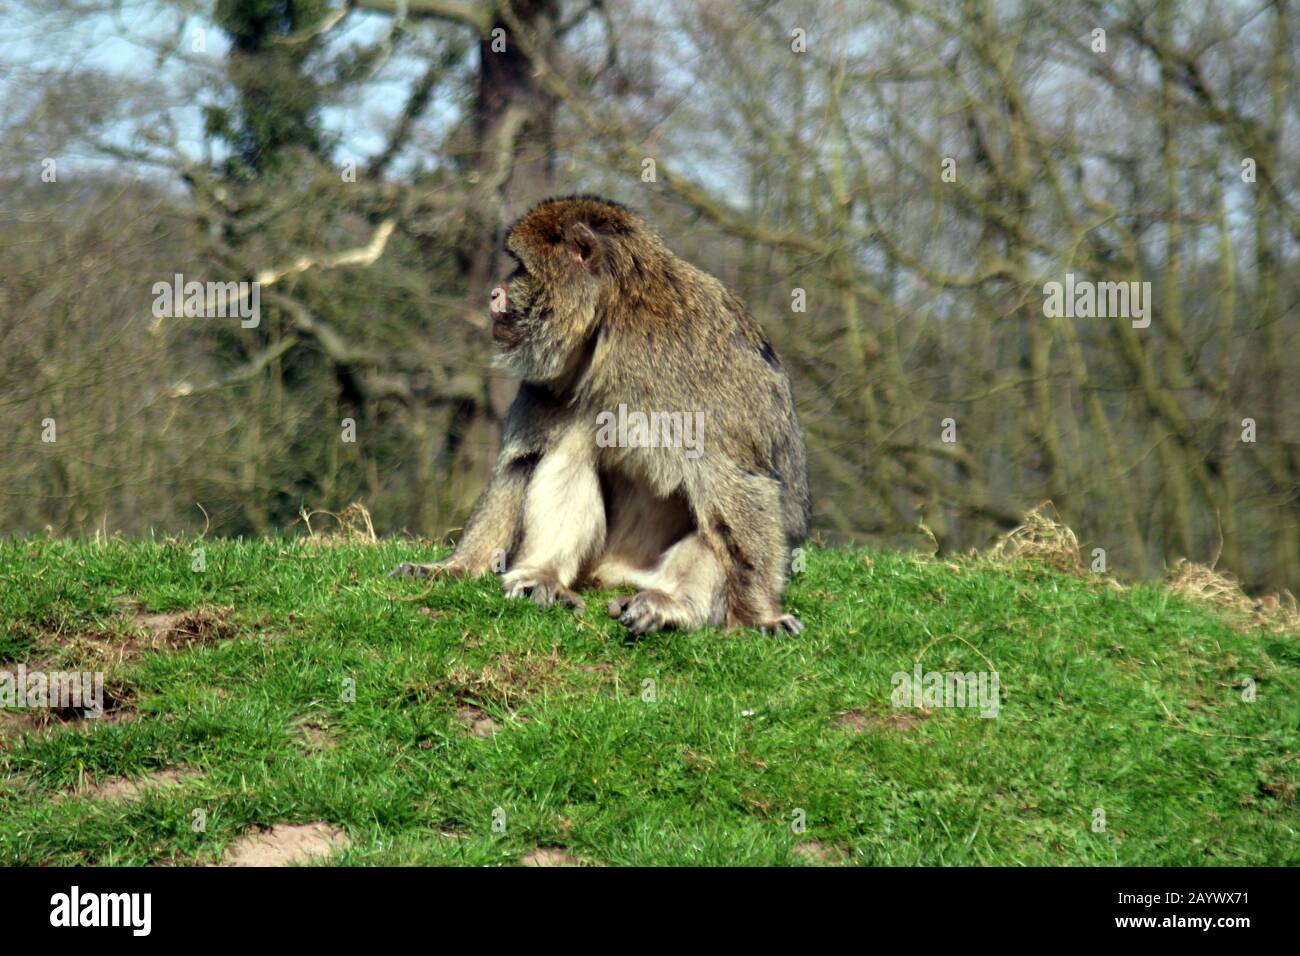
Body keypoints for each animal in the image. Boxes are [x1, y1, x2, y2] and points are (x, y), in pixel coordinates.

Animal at [390, 195, 806, 634]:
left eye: (520, 267)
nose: (494, 293)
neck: (610, 325)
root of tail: (614, 575)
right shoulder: (549, 379)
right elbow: (523, 461)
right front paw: (456, 566)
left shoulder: (692, 363)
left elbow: (739, 481)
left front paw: (760, 615)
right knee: (571, 447)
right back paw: (544, 576)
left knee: (716, 522)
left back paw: (667, 604)